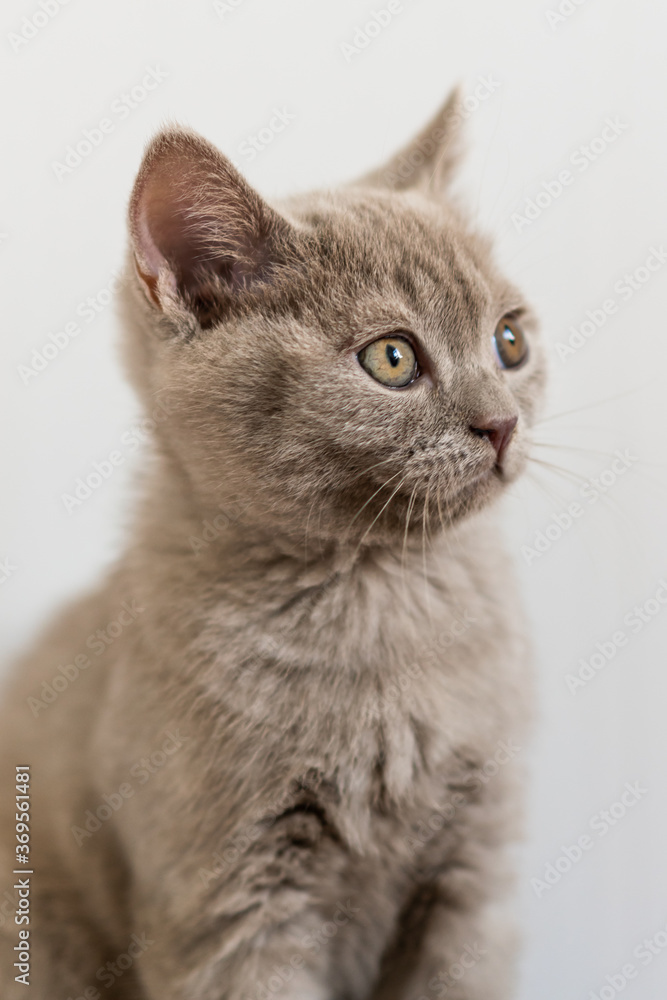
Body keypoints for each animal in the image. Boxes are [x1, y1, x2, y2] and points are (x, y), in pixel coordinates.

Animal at [0, 88, 548, 1000]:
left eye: (510, 342)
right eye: (391, 359)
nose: (501, 422)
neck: (380, 604)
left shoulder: (471, 872)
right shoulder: (232, 901)